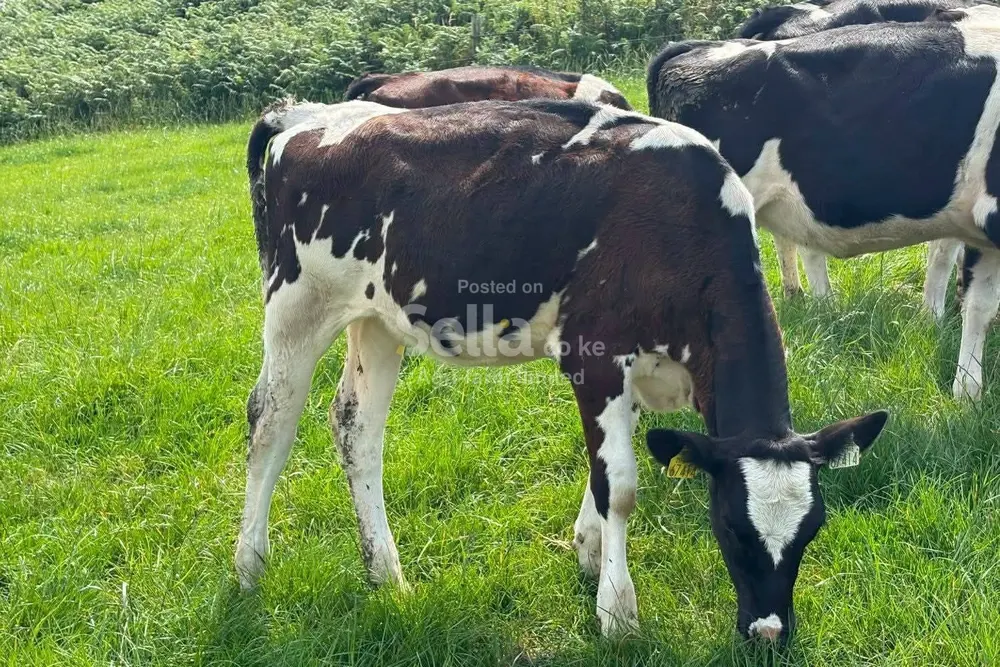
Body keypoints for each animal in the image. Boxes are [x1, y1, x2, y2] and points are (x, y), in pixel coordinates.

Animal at [235, 97, 888, 642]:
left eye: (813, 529)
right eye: (731, 527)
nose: (770, 634)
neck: (679, 221)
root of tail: (304, 114)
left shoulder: (638, 372)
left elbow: (605, 467)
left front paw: (589, 551)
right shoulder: (594, 355)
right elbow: (619, 485)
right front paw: (618, 612)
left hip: (377, 321)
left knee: (355, 430)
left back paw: (387, 576)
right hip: (296, 305)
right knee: (270, 424)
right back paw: (249, 566)